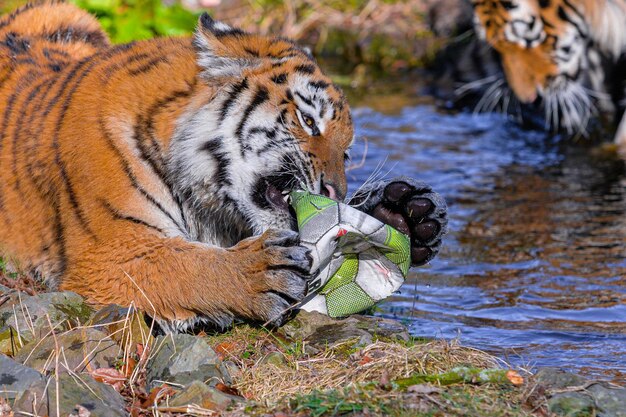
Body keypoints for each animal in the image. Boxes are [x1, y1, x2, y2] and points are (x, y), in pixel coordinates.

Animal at [1, 1, 448, 330]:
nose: (335, 192)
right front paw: (259, 273)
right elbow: (186, 265)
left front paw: (402, 213)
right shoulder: (108, 256)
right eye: (309, 122)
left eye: (348, 153)